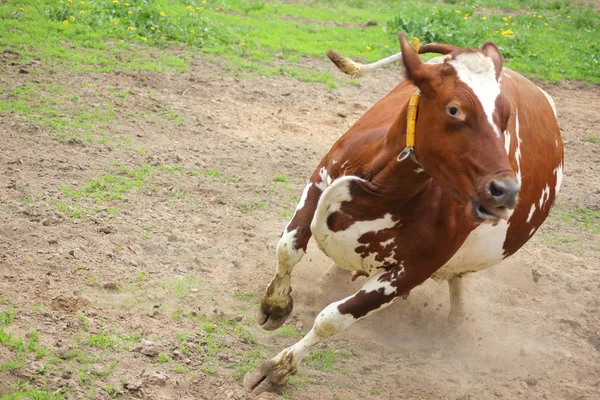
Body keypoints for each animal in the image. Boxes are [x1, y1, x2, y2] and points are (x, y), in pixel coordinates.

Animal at [243, 33, 564, 394]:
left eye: (507, 116)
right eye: (454, 109)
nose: (506, 190)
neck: (386, 188)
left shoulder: (411, 271)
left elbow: (333, 319)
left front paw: (277, 368)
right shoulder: (320, 181)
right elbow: (289, 248)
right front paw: (275, 306)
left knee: (457, 279)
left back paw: (456, 324)